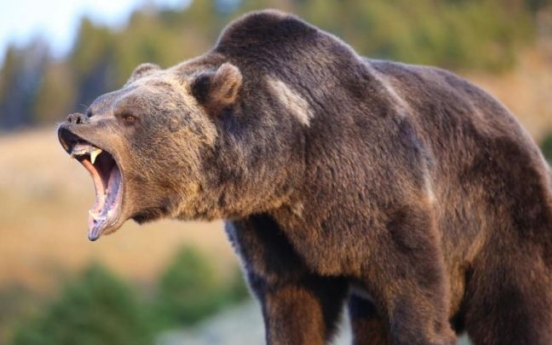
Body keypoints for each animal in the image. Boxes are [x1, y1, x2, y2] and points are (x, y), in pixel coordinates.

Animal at [58, 9, 552, 342]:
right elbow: (293, 309)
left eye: (128, 116)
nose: (72, 122)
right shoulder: (273, 234)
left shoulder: (387, 195)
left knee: (518, 309)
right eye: (96, 106)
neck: (292, 164)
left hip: (504, 216)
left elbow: (416, 296)